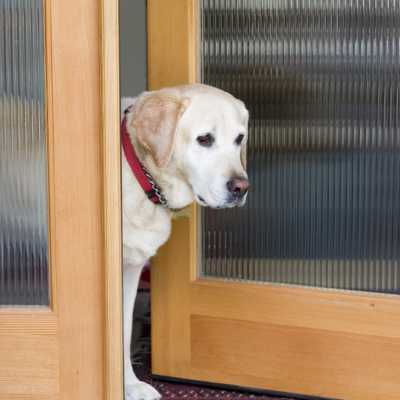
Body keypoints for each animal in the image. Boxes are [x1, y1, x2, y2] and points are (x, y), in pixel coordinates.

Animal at [121, 83, 250, 398]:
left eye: (239, 139)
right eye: (204, 139)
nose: (241, 187)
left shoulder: (129, 269)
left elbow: (123, 328)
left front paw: (129, 386)